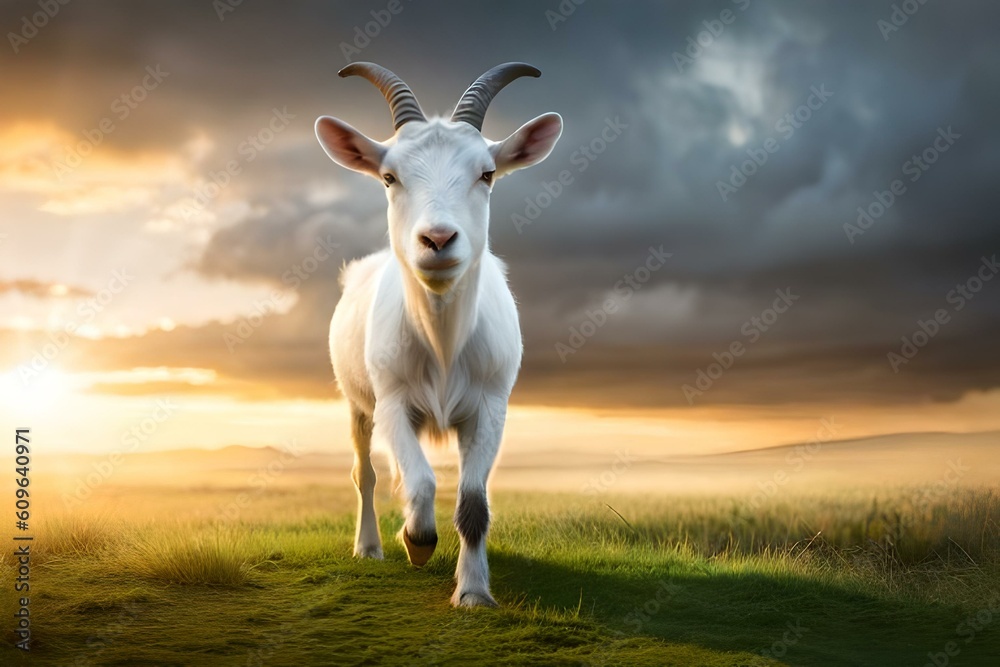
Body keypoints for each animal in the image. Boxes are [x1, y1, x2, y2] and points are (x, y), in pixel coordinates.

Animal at [315, 62, 562, 606]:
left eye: (486, 173)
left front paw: (473, 591)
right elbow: (422, 482)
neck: (443, 343)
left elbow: (473, 502)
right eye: (389, 177)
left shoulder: (491, 405)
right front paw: (417, 539)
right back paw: (370, 546)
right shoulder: (391, 402)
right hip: (356, 401)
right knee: (365, 473)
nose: (437, 239)